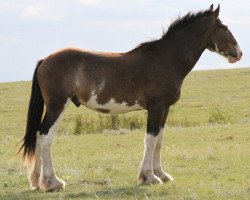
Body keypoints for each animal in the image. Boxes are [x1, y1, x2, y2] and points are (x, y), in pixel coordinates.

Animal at [18, 4, 241, 191]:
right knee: (45, 137)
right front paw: (149, 177)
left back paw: (37, 181)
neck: (165, 59)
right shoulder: (155, 107)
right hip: (57, 106)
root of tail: (46, 59)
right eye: (224, 27)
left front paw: (162, 174)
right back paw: (52, 182)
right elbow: (150, 140)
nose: (238, 53)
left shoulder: (165, 109)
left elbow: (159, 140)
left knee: (38, 137)